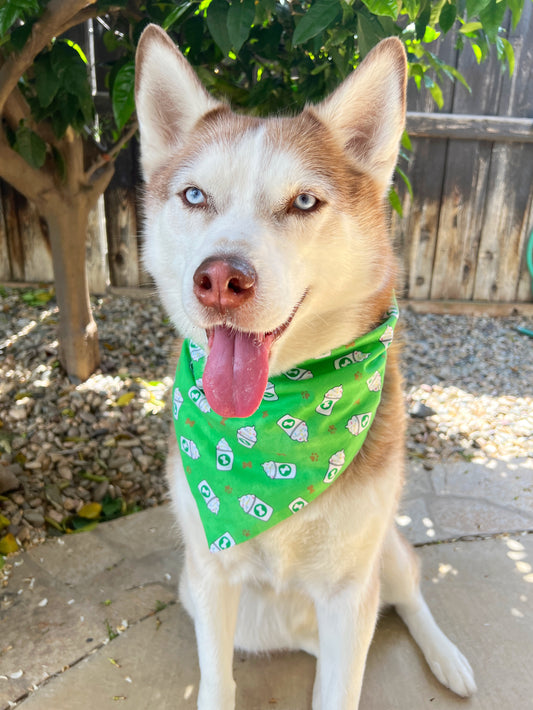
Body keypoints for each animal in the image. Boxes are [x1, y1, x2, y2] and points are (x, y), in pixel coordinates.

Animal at [135, 23, 476, 710]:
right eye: (194, 196)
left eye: (303, 202)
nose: (220, 279)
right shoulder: (208, 575)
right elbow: (217, 681)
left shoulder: (349, 593)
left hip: (384, 549)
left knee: (411, 595)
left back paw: (446, 658)